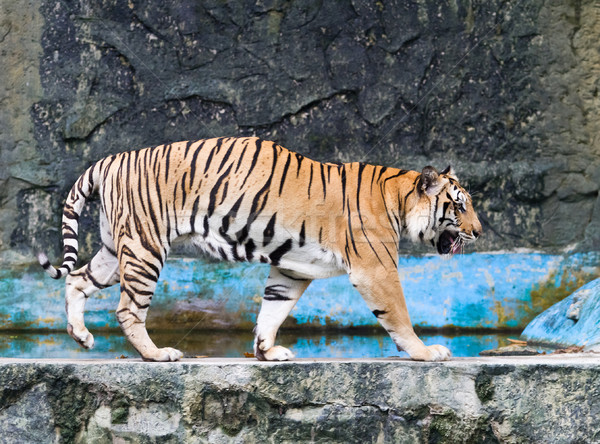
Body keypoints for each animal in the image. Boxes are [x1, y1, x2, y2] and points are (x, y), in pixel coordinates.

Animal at [37, 137, 480, 362]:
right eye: (459, 205)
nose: (477, 231)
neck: (398, 199)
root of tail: (111, 159)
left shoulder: (292, 269)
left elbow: (273, 309)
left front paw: (266, 351)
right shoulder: (377, 269)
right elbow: (399, 316)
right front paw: (427, 352)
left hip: (117, 249)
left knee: (78, 280)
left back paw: (81, 337)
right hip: (145, 249)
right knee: (128, 310)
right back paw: (158, 354)